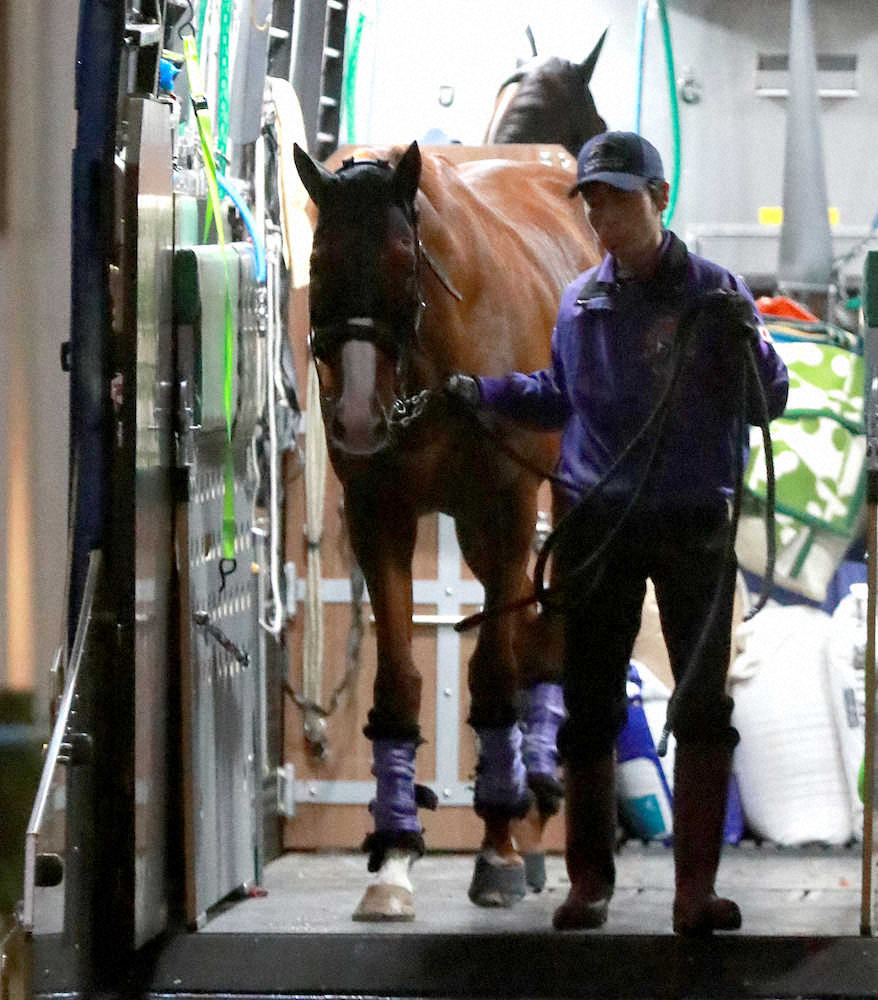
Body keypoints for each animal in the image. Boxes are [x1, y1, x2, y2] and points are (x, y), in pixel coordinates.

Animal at [294, 139, 601, 920]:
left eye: (405, 258)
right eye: (318, 259)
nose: (359, 418)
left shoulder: (509, 508)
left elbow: (494, 672)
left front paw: (496, 849)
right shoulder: (380, 515)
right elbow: (399, 681)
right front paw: (394, 858)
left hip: (556, 501)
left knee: (542, 642)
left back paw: (529, 815)